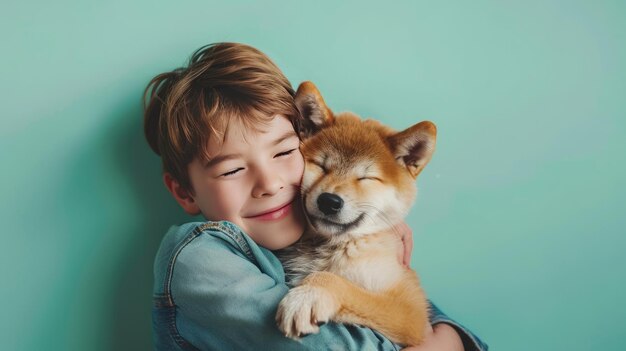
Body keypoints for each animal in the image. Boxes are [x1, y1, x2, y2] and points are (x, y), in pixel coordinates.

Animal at [276, 82, 436, 346]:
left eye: (366, 177)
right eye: (322, 166)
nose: (329, 201)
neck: (335, 247)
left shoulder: (411, 314)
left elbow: (338, 282)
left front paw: (310, 294)